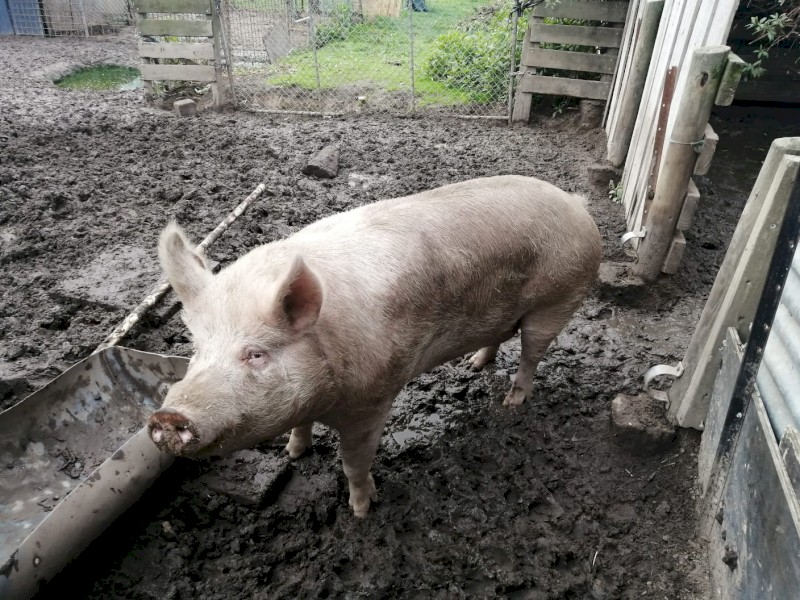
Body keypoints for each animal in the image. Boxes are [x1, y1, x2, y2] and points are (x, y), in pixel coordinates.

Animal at [148, 175, 602, 517]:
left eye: (255, 353)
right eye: (197, 349)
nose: (167, 416)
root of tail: (577, 204)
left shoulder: (372, 401)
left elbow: (354, 462)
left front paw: (362, 511)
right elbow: (300, 428)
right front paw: (293, 455)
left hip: (558, 299)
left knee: (531, 354)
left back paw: (512, 403)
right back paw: (474, 365)